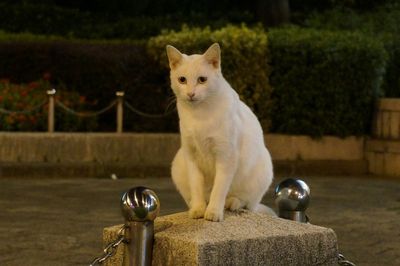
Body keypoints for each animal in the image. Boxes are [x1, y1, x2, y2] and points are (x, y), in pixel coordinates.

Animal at [166, 42, 276, 221]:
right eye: (182, 80)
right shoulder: (191, 156)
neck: (199, 114)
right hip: (177, 164)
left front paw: (214, 212)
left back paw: (232, 203)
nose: (190, 93)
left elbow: (219, 188)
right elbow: (196, 186)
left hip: (263, 171)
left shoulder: (226, 156)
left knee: (248, 204)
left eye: (202, 80)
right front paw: (198, 209)